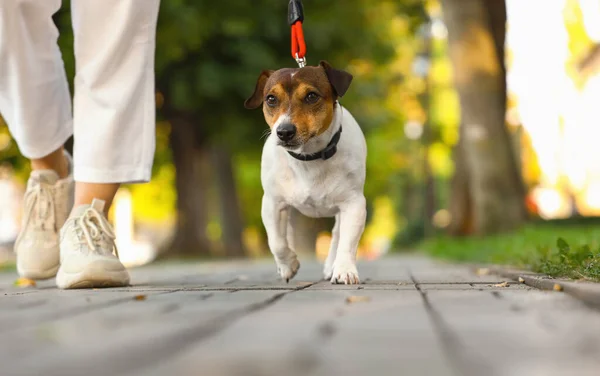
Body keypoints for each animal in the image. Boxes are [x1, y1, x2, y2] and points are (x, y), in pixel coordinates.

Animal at [244, 61, 366, 284]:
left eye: (311, 96)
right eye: (271, 99)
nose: (284, 131)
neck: (308, 158)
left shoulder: (354, 204)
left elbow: (347, 243)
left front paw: (344, 270)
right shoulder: (272, 203)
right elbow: (276, 242)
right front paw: (288, 265)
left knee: (337, 235)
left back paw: (331, 266)